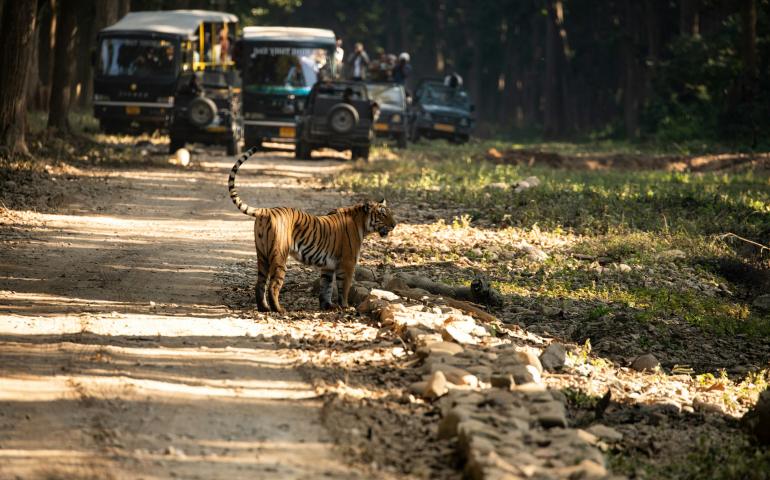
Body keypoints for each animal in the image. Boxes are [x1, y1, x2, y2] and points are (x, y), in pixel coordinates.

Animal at [228, 146, 396, 313]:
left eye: (390, 213)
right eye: (382, 214)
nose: (395, 225)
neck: (362, 223)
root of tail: (266, 211)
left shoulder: (328, 266)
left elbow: (326, 287)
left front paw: (327, 306)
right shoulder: (347, 263)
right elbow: (344, 287)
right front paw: (345, 307)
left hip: (262, 254)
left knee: (260, 283)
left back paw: (264, 308)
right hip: (279, 255)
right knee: (273, 285)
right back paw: (279, 309)